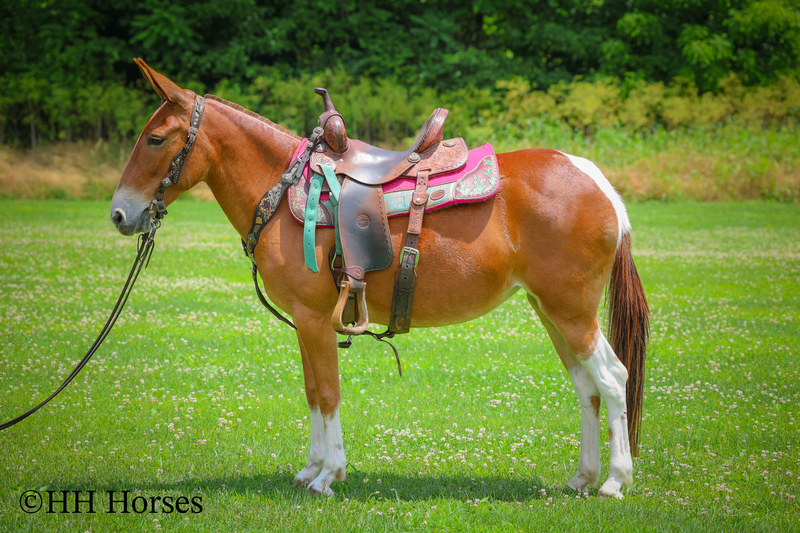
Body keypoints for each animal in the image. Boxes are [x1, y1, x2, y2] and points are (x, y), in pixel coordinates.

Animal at [110, 59, 649, 499]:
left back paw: (615, 481)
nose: (119, 214)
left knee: (612, 377)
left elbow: (328, 393)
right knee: (586, 385)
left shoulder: (314, 318)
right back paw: (582, 478)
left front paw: (329, 476)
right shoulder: (308, 322)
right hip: (550, 311)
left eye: (155, 139)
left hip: (572, 312)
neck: (284, 190)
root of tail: (598, 182)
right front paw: (310, 470)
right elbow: (313, 391)